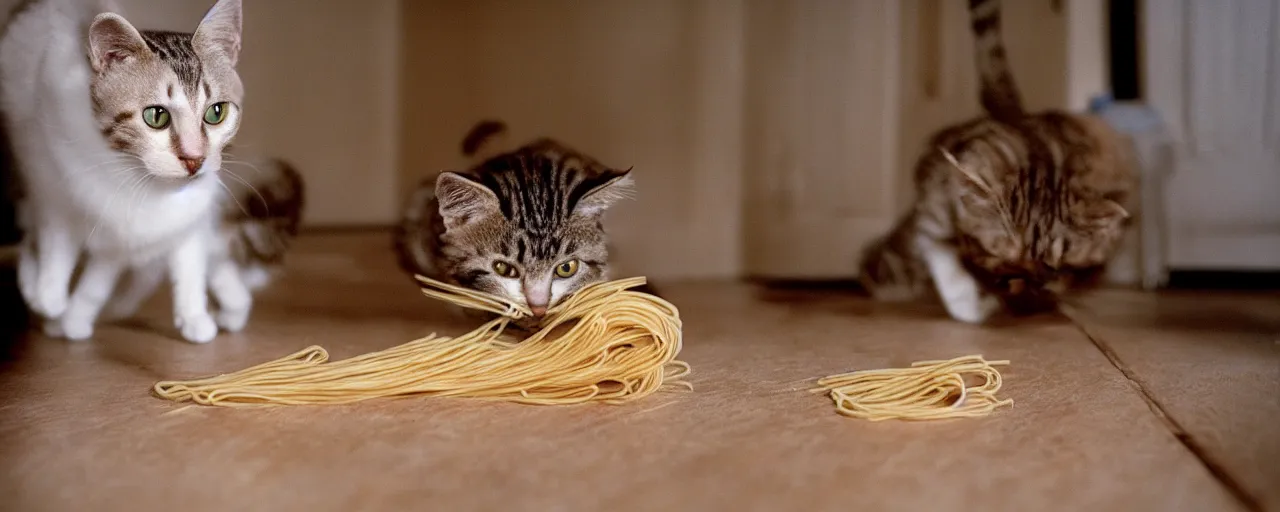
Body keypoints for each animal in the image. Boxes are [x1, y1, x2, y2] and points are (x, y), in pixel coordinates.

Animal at [860, 0, 1131, 322]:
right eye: (1003, 259)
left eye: (1055, 264)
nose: (1031, 284)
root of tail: (1014, 114)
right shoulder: (933, 208)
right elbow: (940, 252)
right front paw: (972, 301)